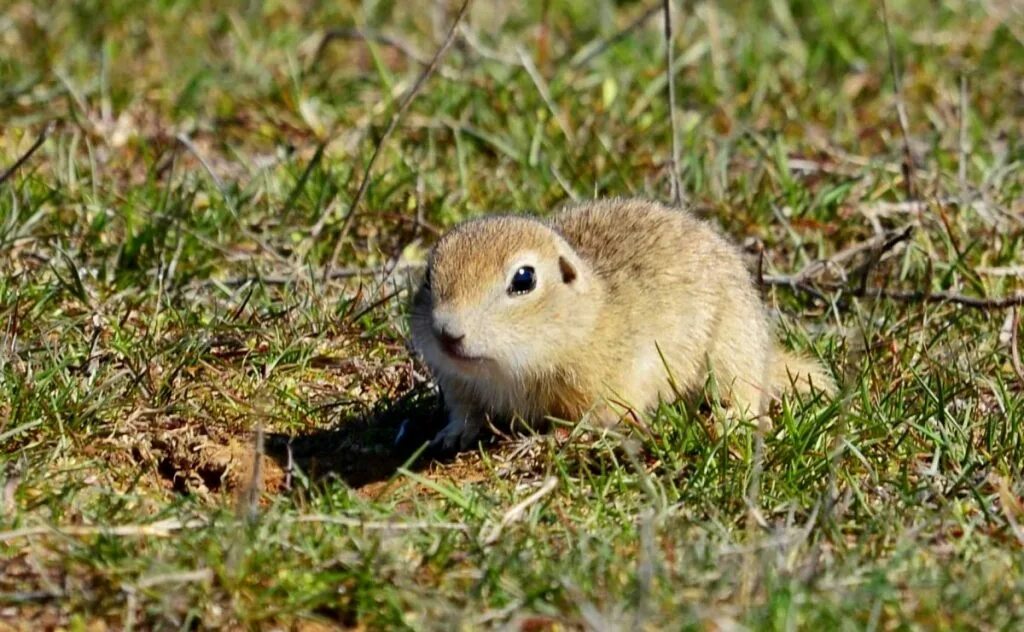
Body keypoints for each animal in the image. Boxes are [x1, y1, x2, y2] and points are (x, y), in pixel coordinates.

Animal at [407, 196, 831, 448]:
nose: (447, 333)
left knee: (748, 391)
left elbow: (597, 419)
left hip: (730, 349)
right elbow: (465, 411)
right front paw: (448, 435)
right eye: (428, 276)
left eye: (523, 279)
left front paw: (541, 440)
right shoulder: (461, 385)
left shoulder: (608, 383)